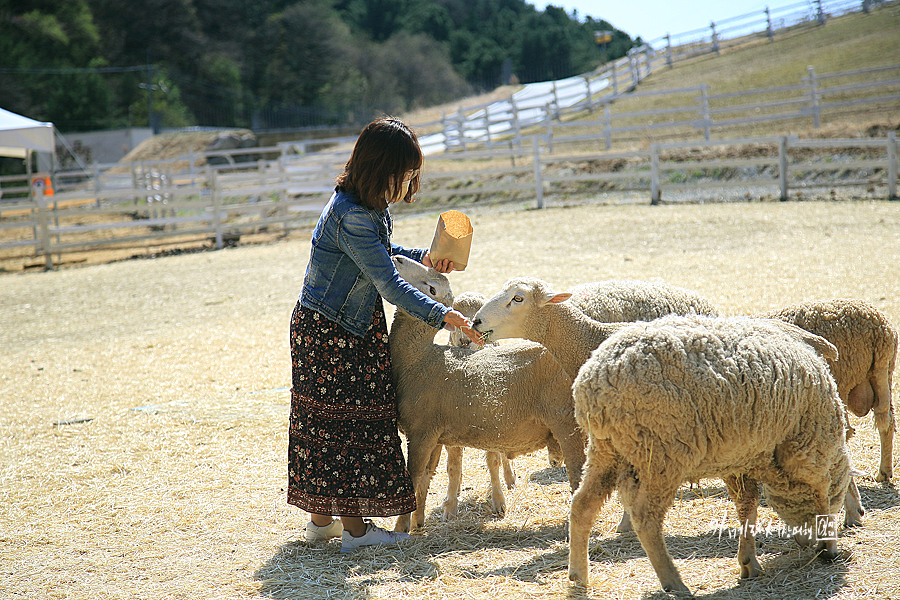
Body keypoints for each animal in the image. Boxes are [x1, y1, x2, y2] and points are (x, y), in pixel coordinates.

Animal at [390, 255, 588, 532]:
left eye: (432, 289)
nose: (397, 258)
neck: (417, 358)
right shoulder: (435, 436)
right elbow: (428, 476)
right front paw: (418, 522)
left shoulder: (421, 432)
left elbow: (415, 476)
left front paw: (401, 530)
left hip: (567, 423)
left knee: (577, 475)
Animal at [568, 314, 852, 596]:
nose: (817, 547)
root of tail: (594, 378)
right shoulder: (806, 453)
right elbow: (818, 498)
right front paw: (826, 545)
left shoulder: (740, 460)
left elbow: (747, 506)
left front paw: (749, 561)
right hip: (662, 454)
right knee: (645, 517)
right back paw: (674, 582)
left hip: (607, 450)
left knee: (582, 505)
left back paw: (578, 575)